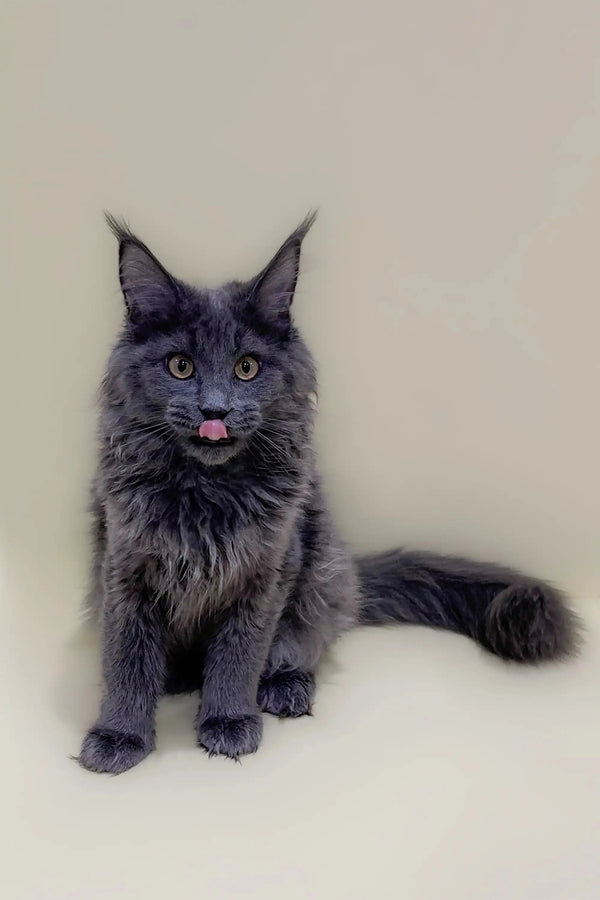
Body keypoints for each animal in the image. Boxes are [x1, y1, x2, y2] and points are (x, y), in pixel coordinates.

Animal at [77, 216, 580, 772]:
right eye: (180, 366)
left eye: (247, 368)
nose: (215, 412)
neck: (208, 494)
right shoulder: (125, 568)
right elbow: (127, 661)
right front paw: (120, 735)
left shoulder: (266, 573)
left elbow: (237, 657)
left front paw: (228, 721)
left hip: (321, 572)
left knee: (302, 642)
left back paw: (284, 685)